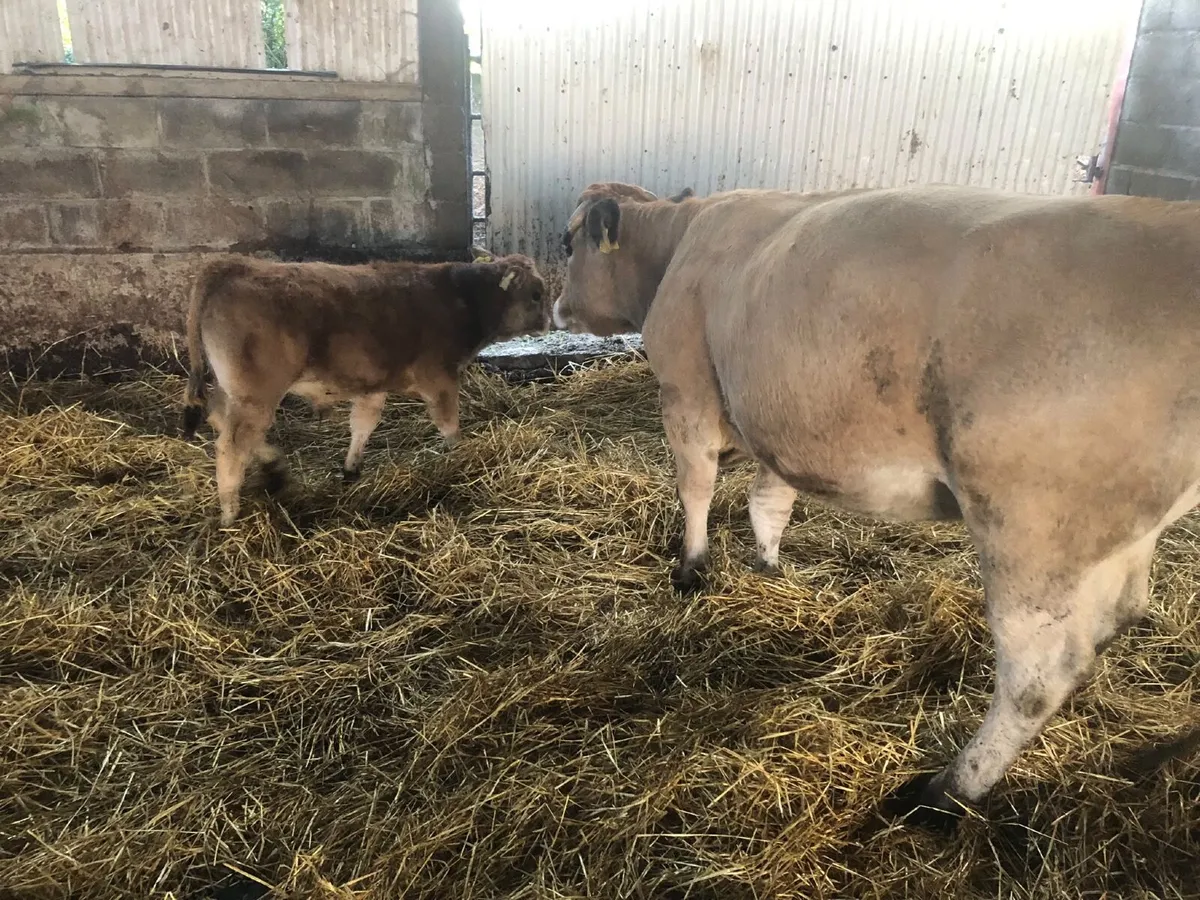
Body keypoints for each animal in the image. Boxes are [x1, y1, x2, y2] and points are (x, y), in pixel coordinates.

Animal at [181, 249, 550, 526]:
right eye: (536, 294)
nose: (548, 321)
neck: (463, 299)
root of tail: (233, 265)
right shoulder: (440, 378)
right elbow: (448, 425)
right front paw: (458, 457)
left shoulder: (374, 384)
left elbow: (363, 424)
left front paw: (351, 470)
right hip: (256, 395)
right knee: (231, 446)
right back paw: (230, 514)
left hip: (234, 392)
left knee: (220, 420)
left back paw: (275, 472)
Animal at [552, 179, 1200, 832]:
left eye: (567, 242)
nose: (556, 307)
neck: (682, 240)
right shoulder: (781, 427)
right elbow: (769, 503)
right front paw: (768, 569)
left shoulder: (686, 393)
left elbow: (696, 487)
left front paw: (690, 570)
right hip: (1120, 535)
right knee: (1118, 616)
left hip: (1031, 529)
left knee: (1038, 675)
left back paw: (944, 792)